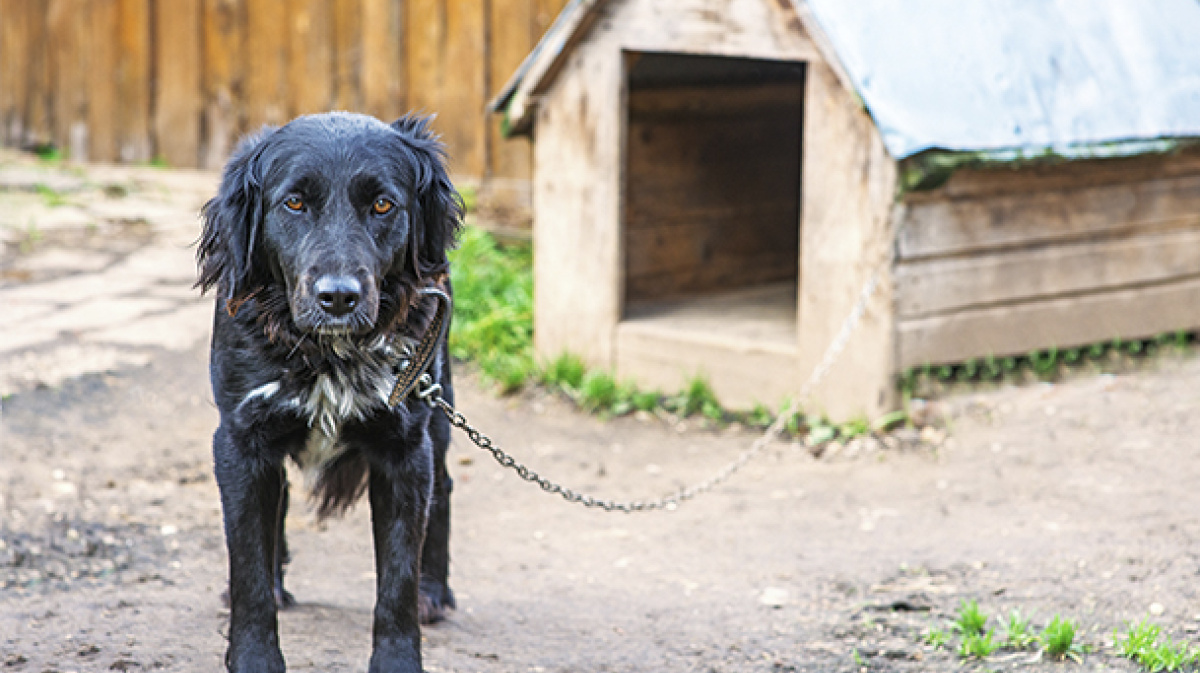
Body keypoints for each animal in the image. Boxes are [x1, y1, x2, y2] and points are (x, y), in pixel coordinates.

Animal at [194, 112, 460, 667]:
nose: (338, 297)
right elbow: (248, 568)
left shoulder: (405, 447)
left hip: (440, 403)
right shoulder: (241, 440)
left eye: (383, 204)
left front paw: (399, 660)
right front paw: (254, 658)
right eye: (294, 202)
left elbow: (396, 581)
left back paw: (434, 590)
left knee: (443, 490)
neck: (327, 354)